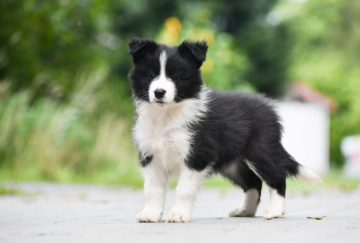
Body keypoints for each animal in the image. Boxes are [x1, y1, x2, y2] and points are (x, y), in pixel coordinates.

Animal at [128, 37, 322, 222]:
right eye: (151, 75)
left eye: (175, 76)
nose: (159, 92)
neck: (166, 115)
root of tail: (270, 108)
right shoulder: (151, 156)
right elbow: (152, 189)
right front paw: (150, 214)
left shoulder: (197, 156)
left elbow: (184, 189)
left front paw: (178, 215)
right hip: (233, 164)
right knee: (253, 183)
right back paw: (245, 211)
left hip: (261, 150)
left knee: (276, 177)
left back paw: (275, 211)